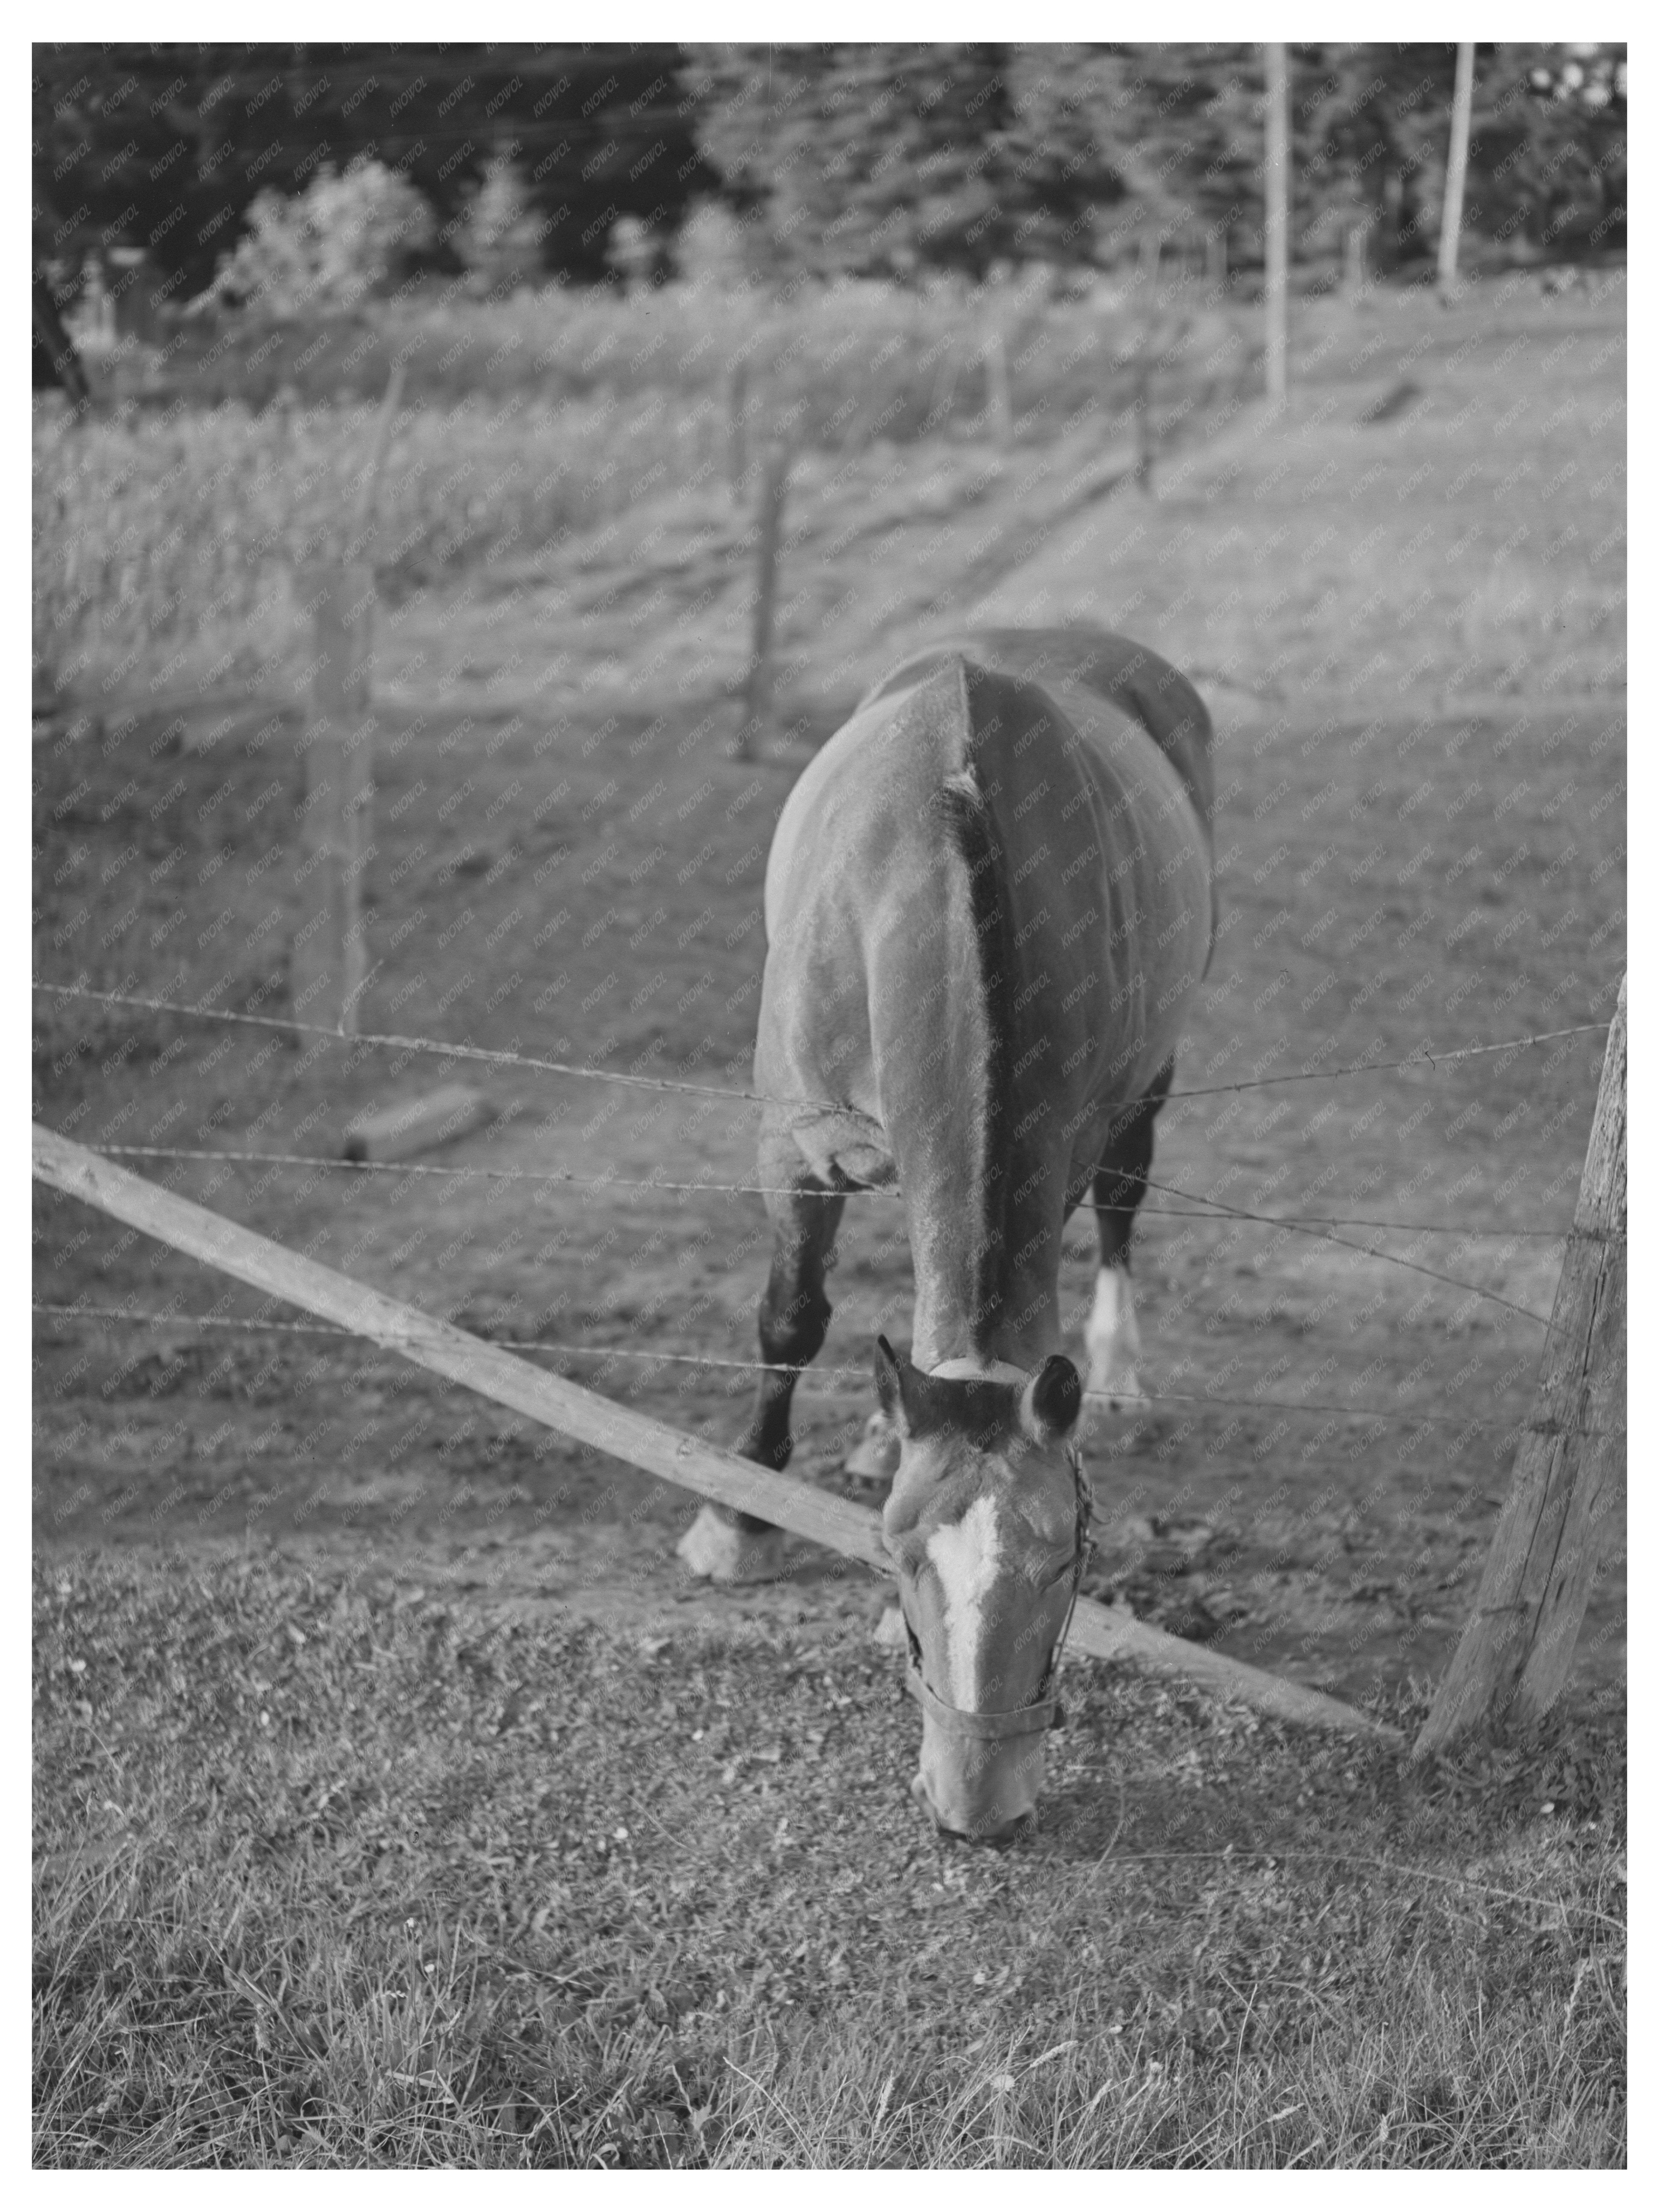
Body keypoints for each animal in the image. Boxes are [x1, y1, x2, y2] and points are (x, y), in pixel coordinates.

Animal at [677, 633, 1221, 1840]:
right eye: (900, 1552)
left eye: (1068, 1560)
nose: (982, 1803)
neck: (934, 869)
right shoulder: (793, 1140)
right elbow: (791, 1316)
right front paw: (741, 1516)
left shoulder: (1062, 1146)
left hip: (1151, 1078)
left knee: (1124, 1202)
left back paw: (1117, 1365)